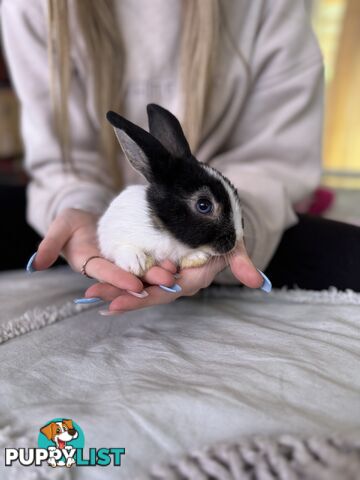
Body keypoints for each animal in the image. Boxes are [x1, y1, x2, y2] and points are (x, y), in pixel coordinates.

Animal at [97, 105, 245, 278]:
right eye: (204, 205)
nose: (238, 238)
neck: (166, 233)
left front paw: (196, 258)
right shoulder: (112, 234)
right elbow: (122, 247)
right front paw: (137, 263)